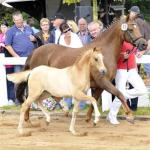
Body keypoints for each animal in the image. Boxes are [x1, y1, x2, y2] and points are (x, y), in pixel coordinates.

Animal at [16, 15, 146, 125]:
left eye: (138, 27)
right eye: (130, 29)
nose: (144, 44)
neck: (104, 52)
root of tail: (35, 52)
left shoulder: (100, 84)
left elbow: (95, 99)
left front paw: (88, 118)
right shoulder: (103, 81)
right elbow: (119, 94)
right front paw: (130, 115)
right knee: (31, 96)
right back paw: (31, 118)